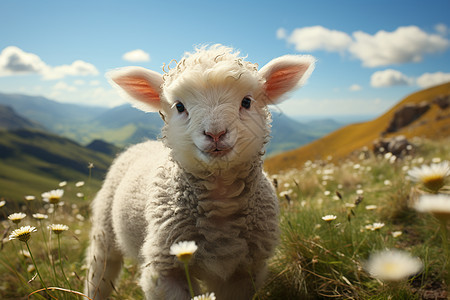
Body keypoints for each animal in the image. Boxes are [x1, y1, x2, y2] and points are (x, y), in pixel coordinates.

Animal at [85, 44, 316, 300]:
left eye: (246, 102)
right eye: (179, 106)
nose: (215, 133)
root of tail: (141, 144)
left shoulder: (244, 272)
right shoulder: (165, 269)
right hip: (104, 230)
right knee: (100, 272)